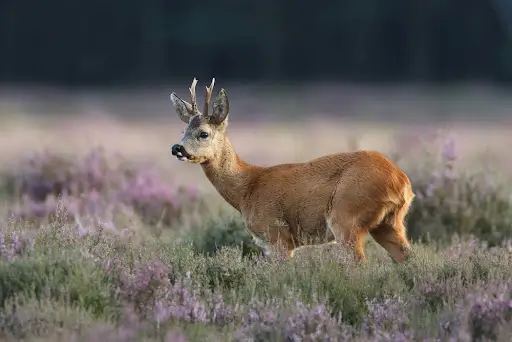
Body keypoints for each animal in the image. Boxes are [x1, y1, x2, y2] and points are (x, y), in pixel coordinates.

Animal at [170, 79, 414, 264]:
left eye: (203, 133)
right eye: (183, 131)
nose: (177, 148)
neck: (247, 189)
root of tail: (401, 182)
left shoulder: (277, 234)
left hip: (346, 215)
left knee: (358, 263)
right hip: (390, 223)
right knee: (408, 258)